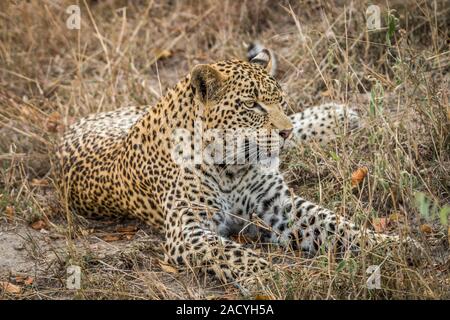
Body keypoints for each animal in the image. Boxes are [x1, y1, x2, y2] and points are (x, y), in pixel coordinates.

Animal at [57, 48, 422, 288]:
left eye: (279, 101)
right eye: (251, 105)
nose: (284, 131)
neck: (230, 166)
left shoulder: (277, 204)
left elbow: (334, 223)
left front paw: (390, 244)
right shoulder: (187, 229)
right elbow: (231, 253)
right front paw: (270, 276)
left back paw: (335, 117)